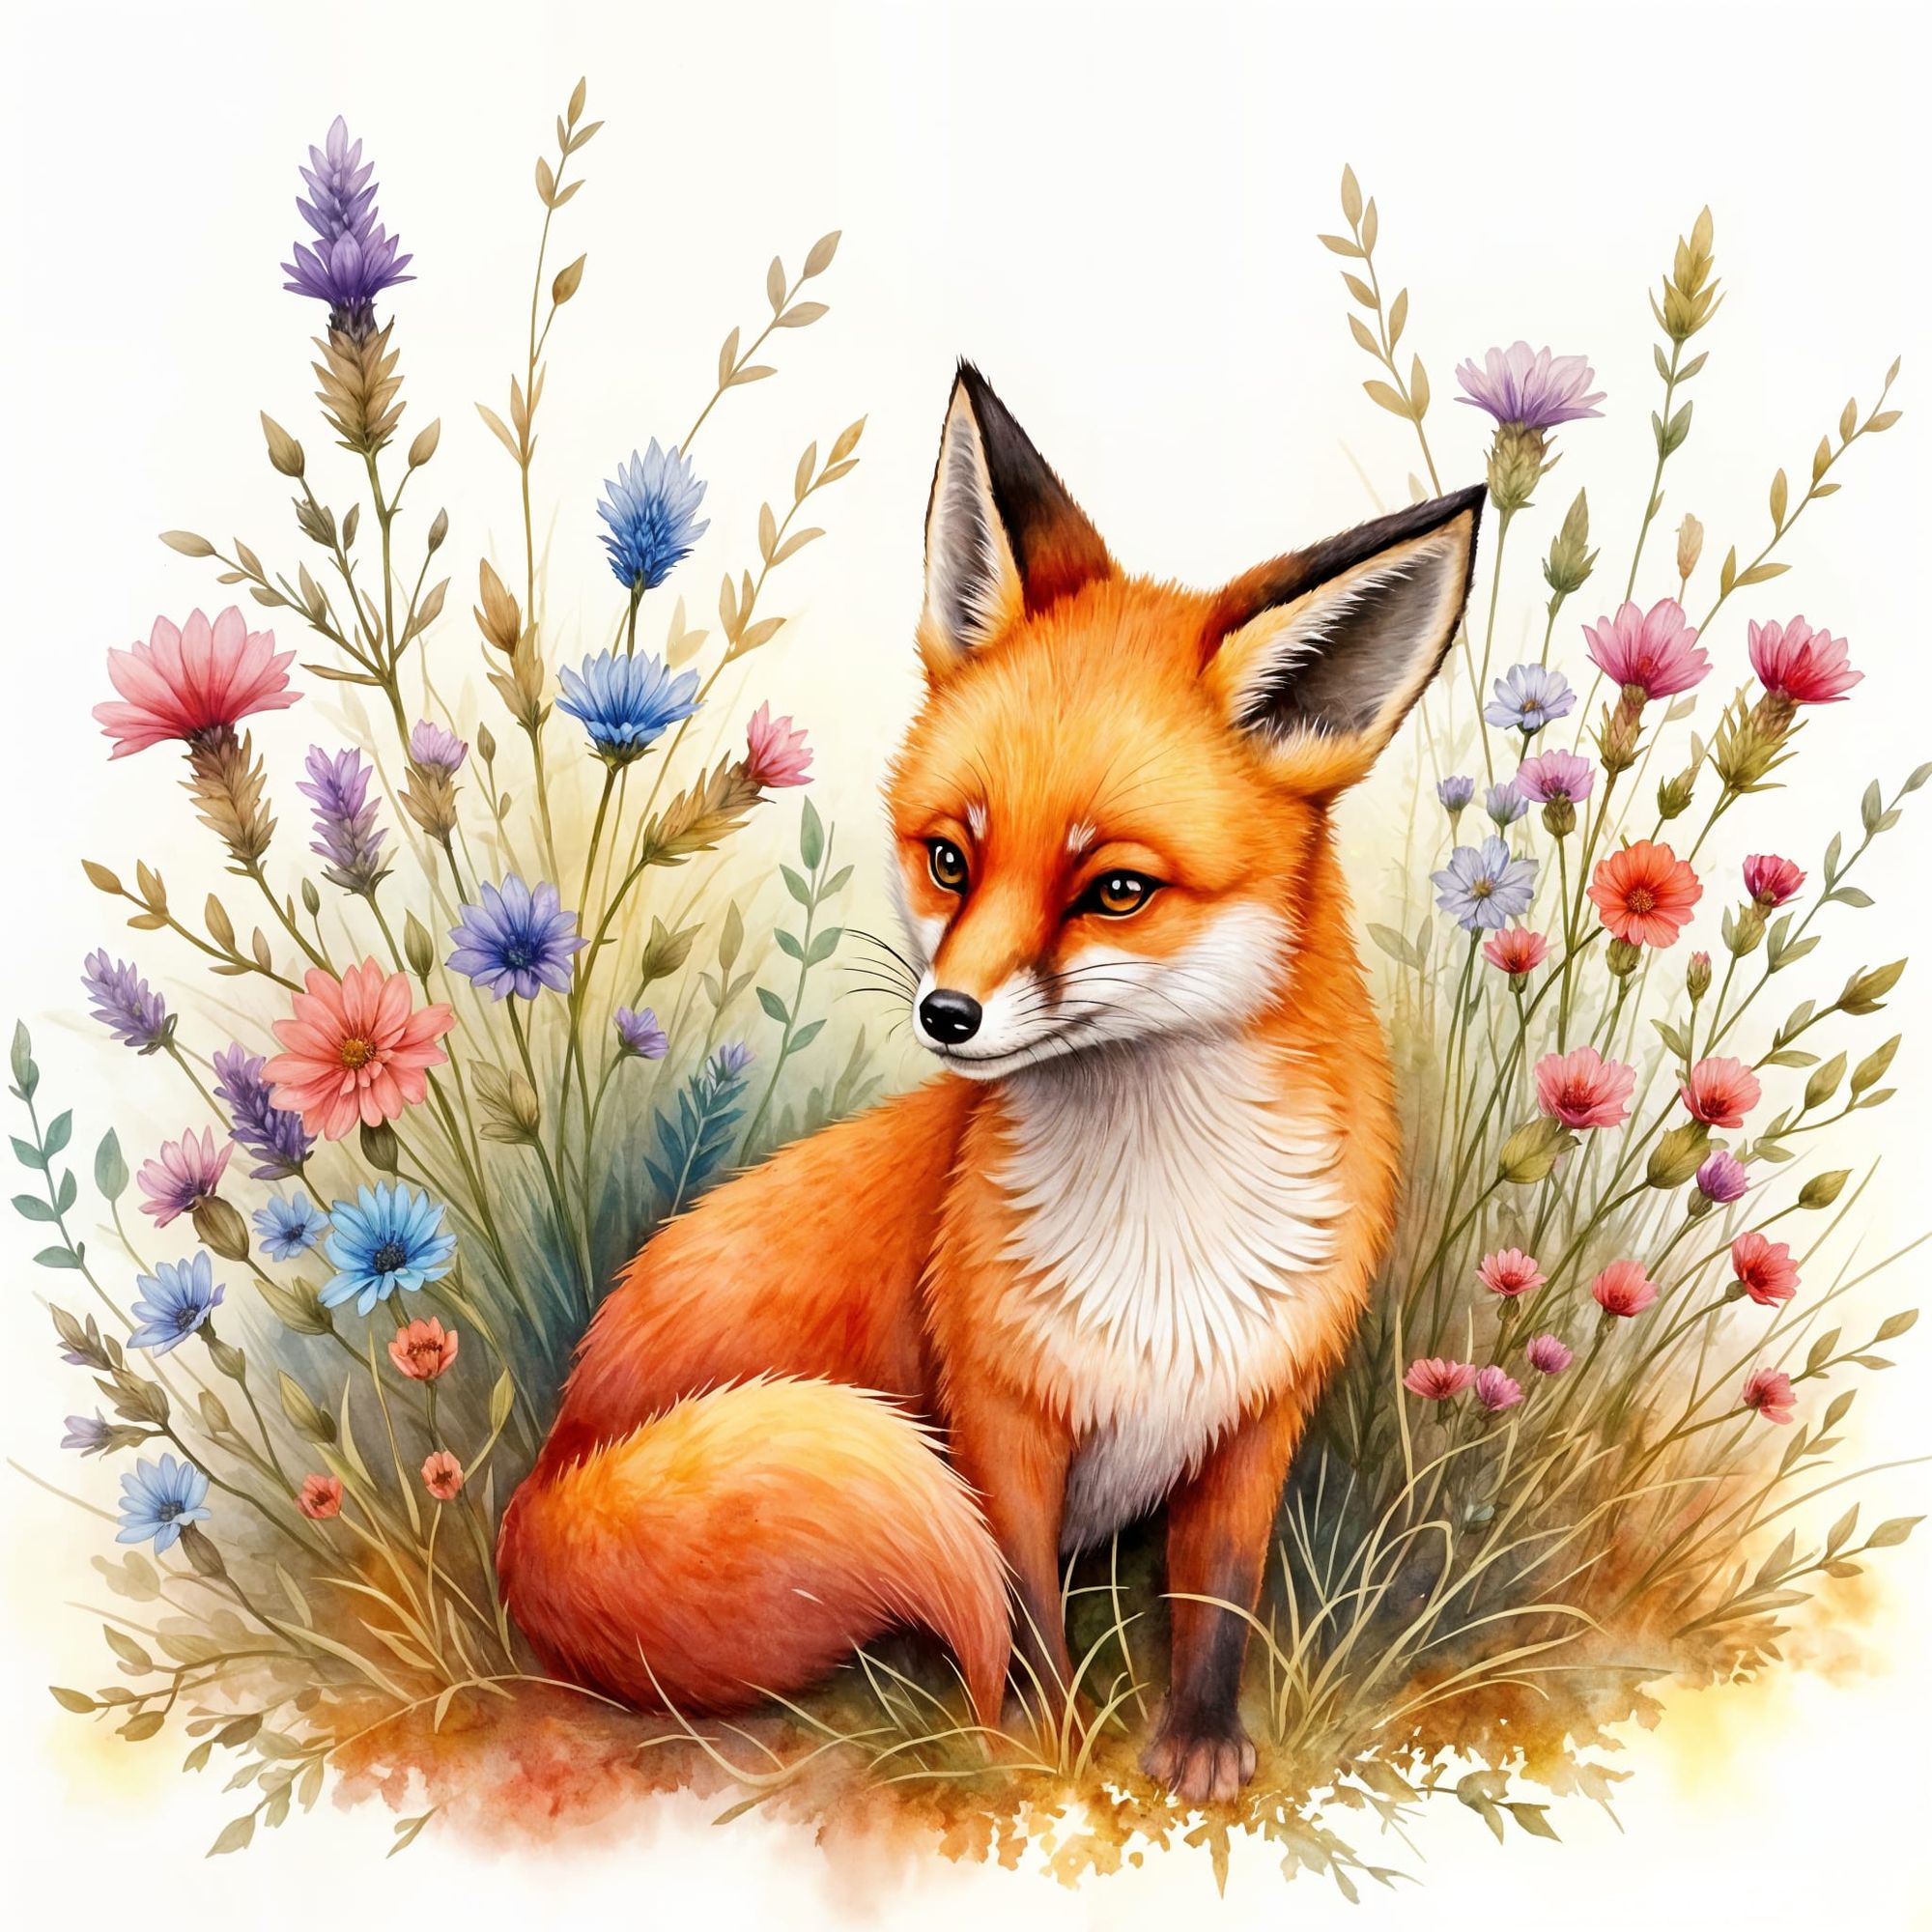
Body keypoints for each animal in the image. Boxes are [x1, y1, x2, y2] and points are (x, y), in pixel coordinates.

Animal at [497, 362, 1484, 1803]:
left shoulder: (1258, 1413)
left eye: (1114, 889)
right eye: (952, 860)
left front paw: (1197, 1751)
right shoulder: (998, 1424)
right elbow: (1025, 1619)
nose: (947, 1014)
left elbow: (1217, 1604)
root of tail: (536, 1487)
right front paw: (1052, 1758)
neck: (1167, 1237)